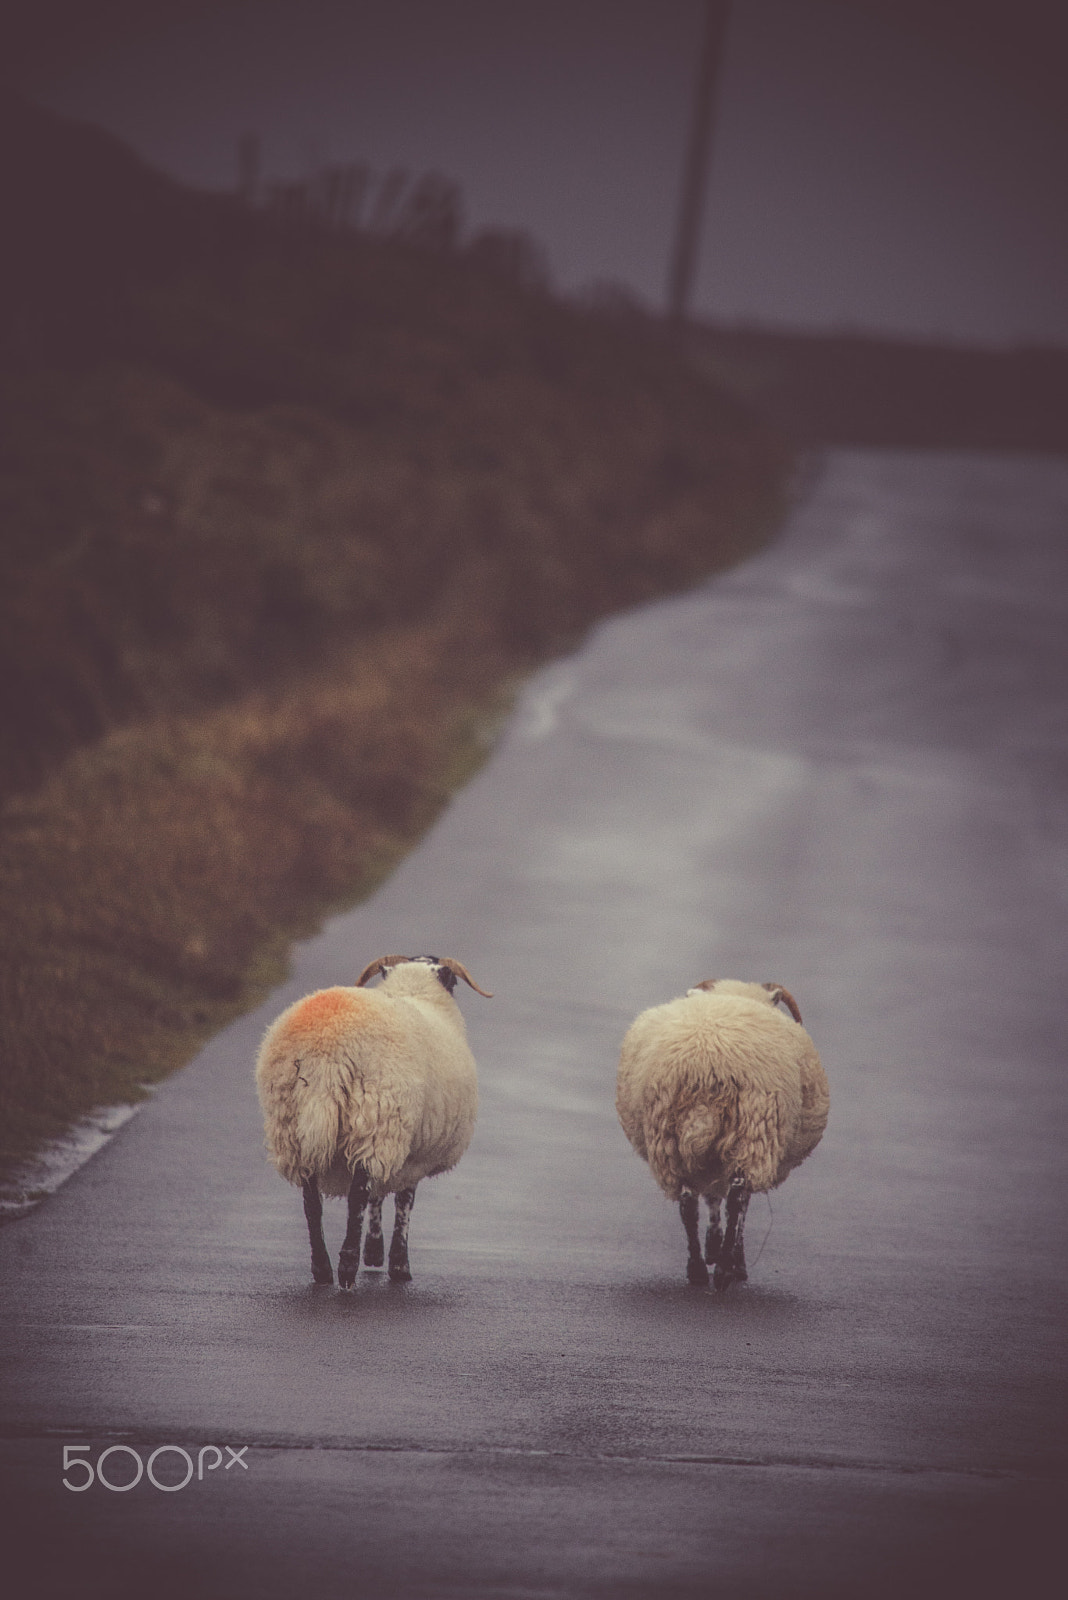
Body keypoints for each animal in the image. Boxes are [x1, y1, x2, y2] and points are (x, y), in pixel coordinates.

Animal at [255, 947, 495, 1286]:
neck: (415, 989)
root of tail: (325, 1053)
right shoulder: (411, 1149)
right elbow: (400, 1203)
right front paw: (396, 1264)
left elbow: (379, 1196)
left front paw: (377, 1253)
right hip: (376, 1115)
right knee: (357, 1195)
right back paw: (346, 1267)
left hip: (293, 1125)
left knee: (311, 1202)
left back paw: (322, 1269)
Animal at [613, 979, 831, 1292]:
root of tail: (706, 1062)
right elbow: (734, 1205)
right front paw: (730, 1258)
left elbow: (713, 1199)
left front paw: (713, 1247)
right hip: (754, 1128)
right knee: (738, 1197)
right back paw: (725, 1271)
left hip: (671, 1140)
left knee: (687, 1203)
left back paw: (697, 1269)